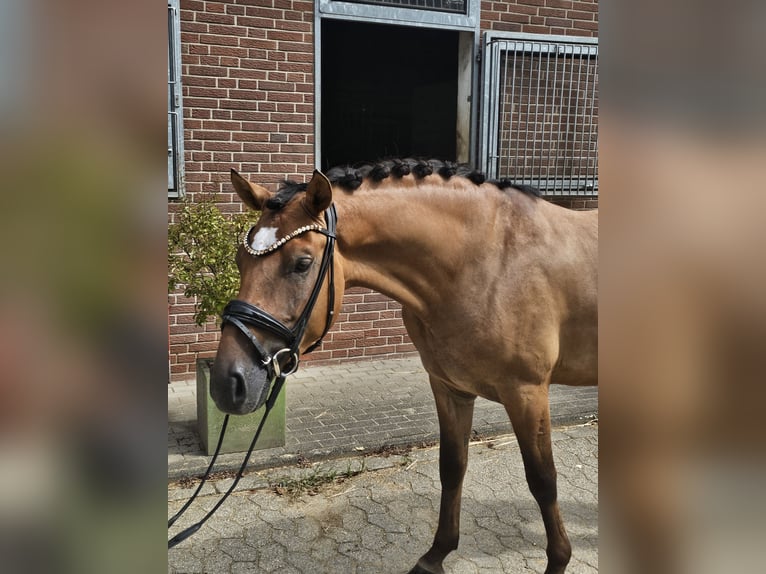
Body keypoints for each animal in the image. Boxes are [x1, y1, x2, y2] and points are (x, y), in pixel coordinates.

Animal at [210, 158, 598, 574]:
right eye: (239, 261)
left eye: (301, 264)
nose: (227, 383)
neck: (488, 262)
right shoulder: (449, 387)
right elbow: (452, 466)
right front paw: (436, 554)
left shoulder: (526, 392)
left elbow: (543, 480)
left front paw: (558, 560)